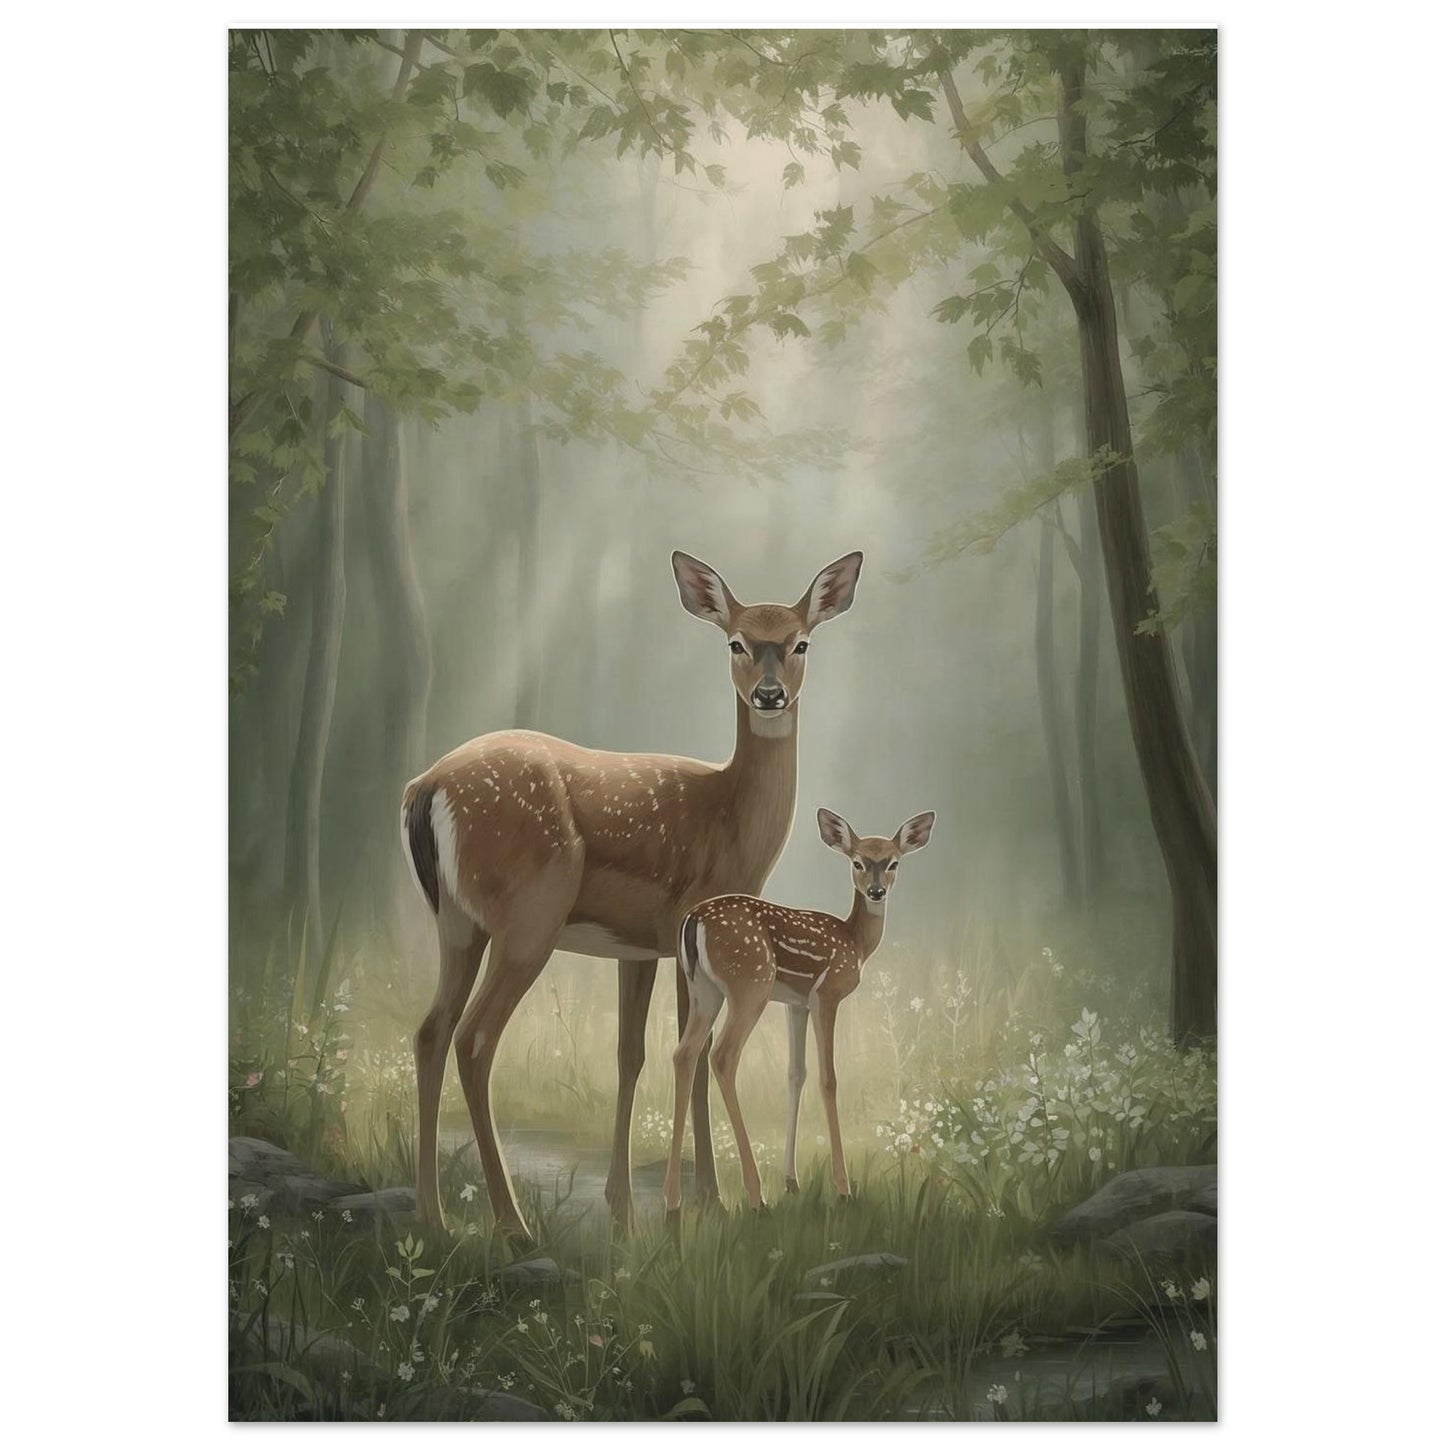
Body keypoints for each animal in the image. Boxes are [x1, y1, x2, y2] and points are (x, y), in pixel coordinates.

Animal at [399, 549, 863, 1241]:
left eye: (801, 641)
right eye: (735, 642)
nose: (769, 694)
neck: (731, 820)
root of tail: (423, 788)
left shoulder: (638, 946)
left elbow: (629, 1056)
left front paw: (623, 1207)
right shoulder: (689, 922)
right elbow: (694, 1058)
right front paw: (708, 1199)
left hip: (457, 921)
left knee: (431, 1031)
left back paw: (432, 1215)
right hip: (528, 918)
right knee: (475, 1040)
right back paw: (512, 1222)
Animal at [663, 806, 936, 1221]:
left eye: (893, 862)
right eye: (857, 862)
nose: (876, 891)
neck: (855, 943)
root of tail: (692, 920)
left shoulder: (797, 1003)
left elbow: (796, 1074)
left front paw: (792, 1181)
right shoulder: (827, 994)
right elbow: (828, 1078)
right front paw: (843, 1189)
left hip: (702, 990)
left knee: (684, 1053)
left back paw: (673, 1201)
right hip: (750, 984)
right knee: (722, 1055)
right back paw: (756, 1197)